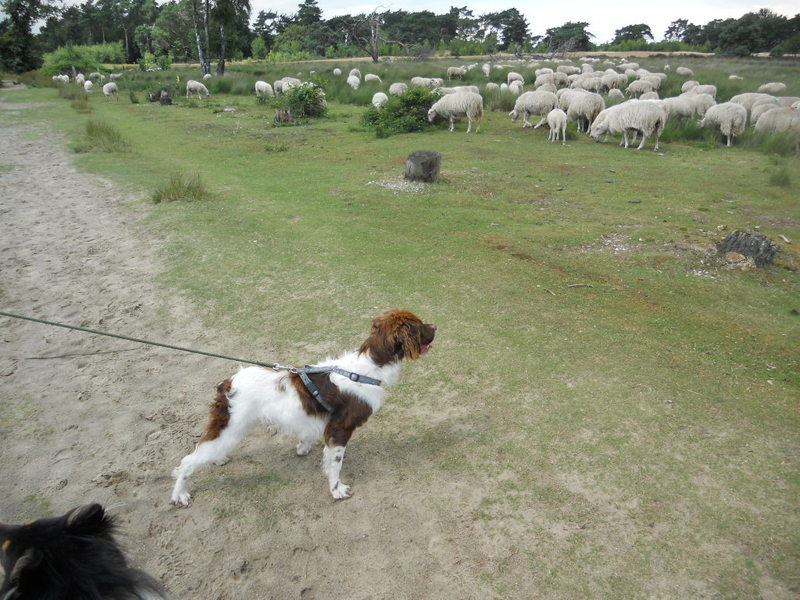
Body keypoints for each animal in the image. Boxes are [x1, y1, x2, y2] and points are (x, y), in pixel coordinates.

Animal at [172, 312, 438, 504]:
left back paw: (217, 459)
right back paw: (179, 494)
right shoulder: (340, 429)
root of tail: (227, 383)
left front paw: (302, 448)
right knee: (188, 461)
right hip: (233, 426)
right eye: (419, 326)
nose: (436, 326)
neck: (367, 369)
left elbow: (312, 440)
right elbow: (335, 463)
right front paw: (337, 490)